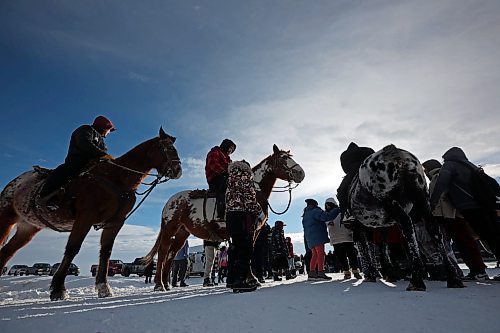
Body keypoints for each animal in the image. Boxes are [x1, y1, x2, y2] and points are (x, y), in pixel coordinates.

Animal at [0, 126, 183, 298]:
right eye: (167, 148)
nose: (178, 170)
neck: (117, 178)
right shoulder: (85, 216)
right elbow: (73, 248)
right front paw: (58, 289)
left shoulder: (115, 222)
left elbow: (106, 252)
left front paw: (104, 287)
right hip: (6, 218)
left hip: (28, 228)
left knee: (6, 252)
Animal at [143, 144, 302, 290]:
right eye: (283, 158)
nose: (301, 173)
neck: (253, 188)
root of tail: (169, 202)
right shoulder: (248, 229)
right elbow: (247, 252)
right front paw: (252, 279)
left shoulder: (254, 231)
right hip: (169, 229)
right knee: (163, 252)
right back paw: (159, 284)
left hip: (182, 233)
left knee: (171, 254)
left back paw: (166, 283)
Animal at [350, 144, 462, 290]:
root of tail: (395, 153)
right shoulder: (381, 226)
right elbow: (382, 246)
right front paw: (388, 272)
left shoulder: (364, 228)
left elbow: (369, 248)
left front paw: (373, 274)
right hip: (420, 195)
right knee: (433, 229)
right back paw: (452, 277)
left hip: (389, 200)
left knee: (407, 226)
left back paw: (417, 280)